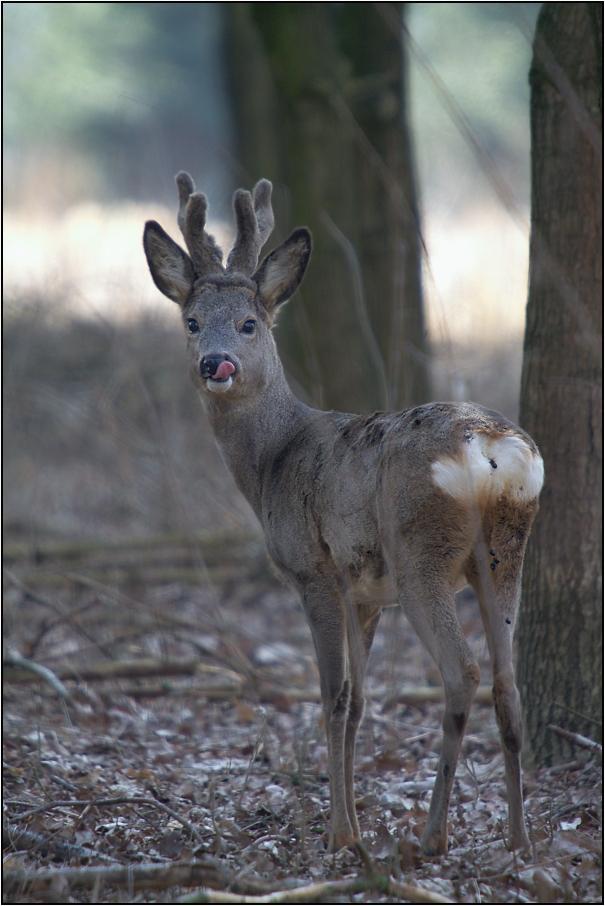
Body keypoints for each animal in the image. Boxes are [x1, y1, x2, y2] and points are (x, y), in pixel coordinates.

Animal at [144, 171, 544, 856]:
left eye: (249, 324)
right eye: (192, 321)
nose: (215, 364)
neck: (272, 463)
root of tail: (489, 450)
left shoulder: (314, 570)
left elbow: (332, 697)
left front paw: (339, 835)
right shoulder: (365, 593)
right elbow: (358, 702)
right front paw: (352, 823)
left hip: (420, 550)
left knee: (461, 671)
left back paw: (432, 835)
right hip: (504, 552)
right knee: (506, 681)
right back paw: (517, 840)